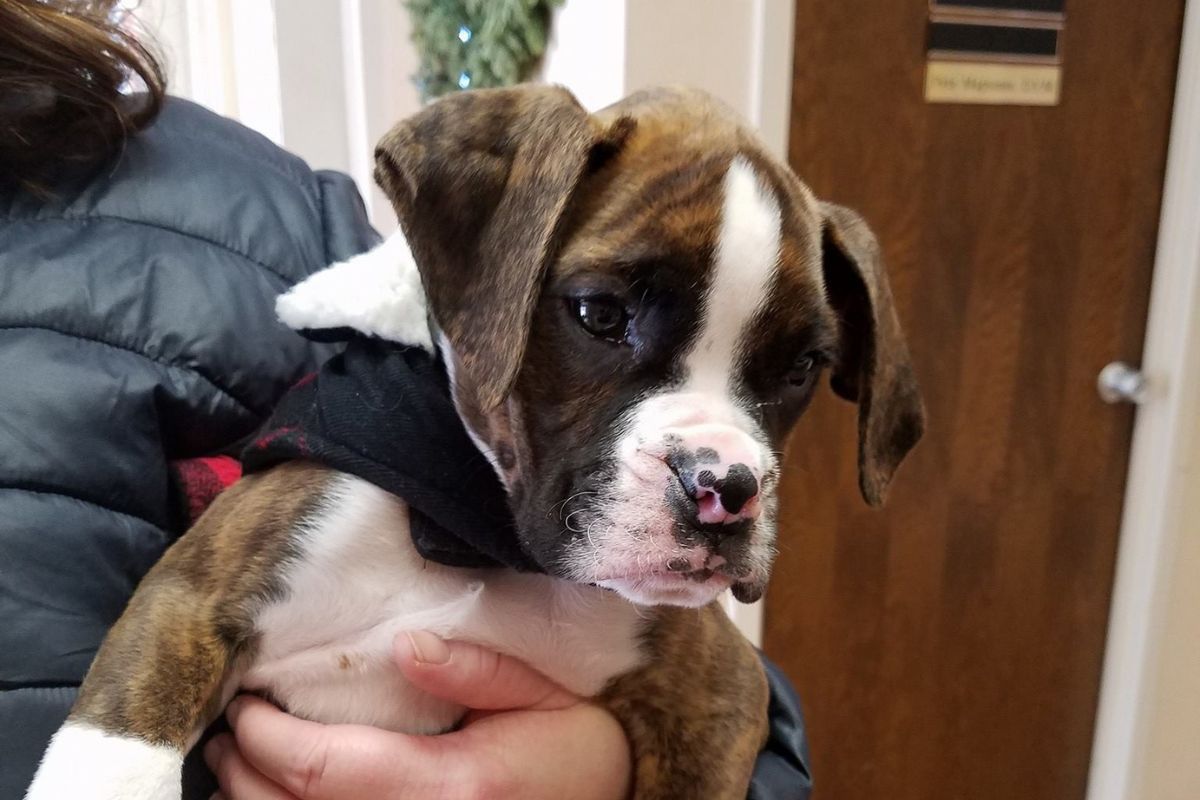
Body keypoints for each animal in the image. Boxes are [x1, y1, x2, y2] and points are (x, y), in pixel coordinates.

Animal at [25, 84, 926, 796]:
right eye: (600, 314)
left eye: (803, 368)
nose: (725, 487)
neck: (475, 537)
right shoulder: (190, 601)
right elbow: (114, 757)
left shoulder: (719, 697)